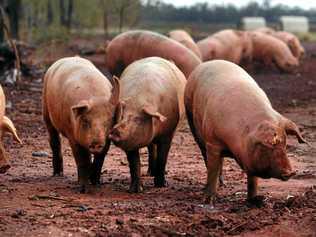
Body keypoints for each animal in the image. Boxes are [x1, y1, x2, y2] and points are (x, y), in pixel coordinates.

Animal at [42, 57, 119, 193]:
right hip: (46, 111)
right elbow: (82, 160)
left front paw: (96, 183)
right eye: (85, 121)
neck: (95, 97)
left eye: (109, 121)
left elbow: (100, 158)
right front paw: (83, 189)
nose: (96, 143)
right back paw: (58, 174)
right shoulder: (72, 136)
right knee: (54, 140)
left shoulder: (107, 139)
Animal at [109, 57, 186, 193]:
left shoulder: (168, 132)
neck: (138, 99)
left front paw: (161, 185)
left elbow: (163, 158)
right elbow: (134, 163)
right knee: (151, 147)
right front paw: (135, 190)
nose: (115, 132)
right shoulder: (131, 141)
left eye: (138, 119)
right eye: (121, 116)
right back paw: (150, 173)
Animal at [184, 60, 308, 206]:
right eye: (270, 146)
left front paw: (257, 200)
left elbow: (252, 179)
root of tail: (207, 62)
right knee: (206, 158)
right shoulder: (212, 142)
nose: (290, 172)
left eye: (285, 145)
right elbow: (213, 169)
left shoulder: (249, 155)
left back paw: (223, 185)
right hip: (192, 120)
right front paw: (209, 200)